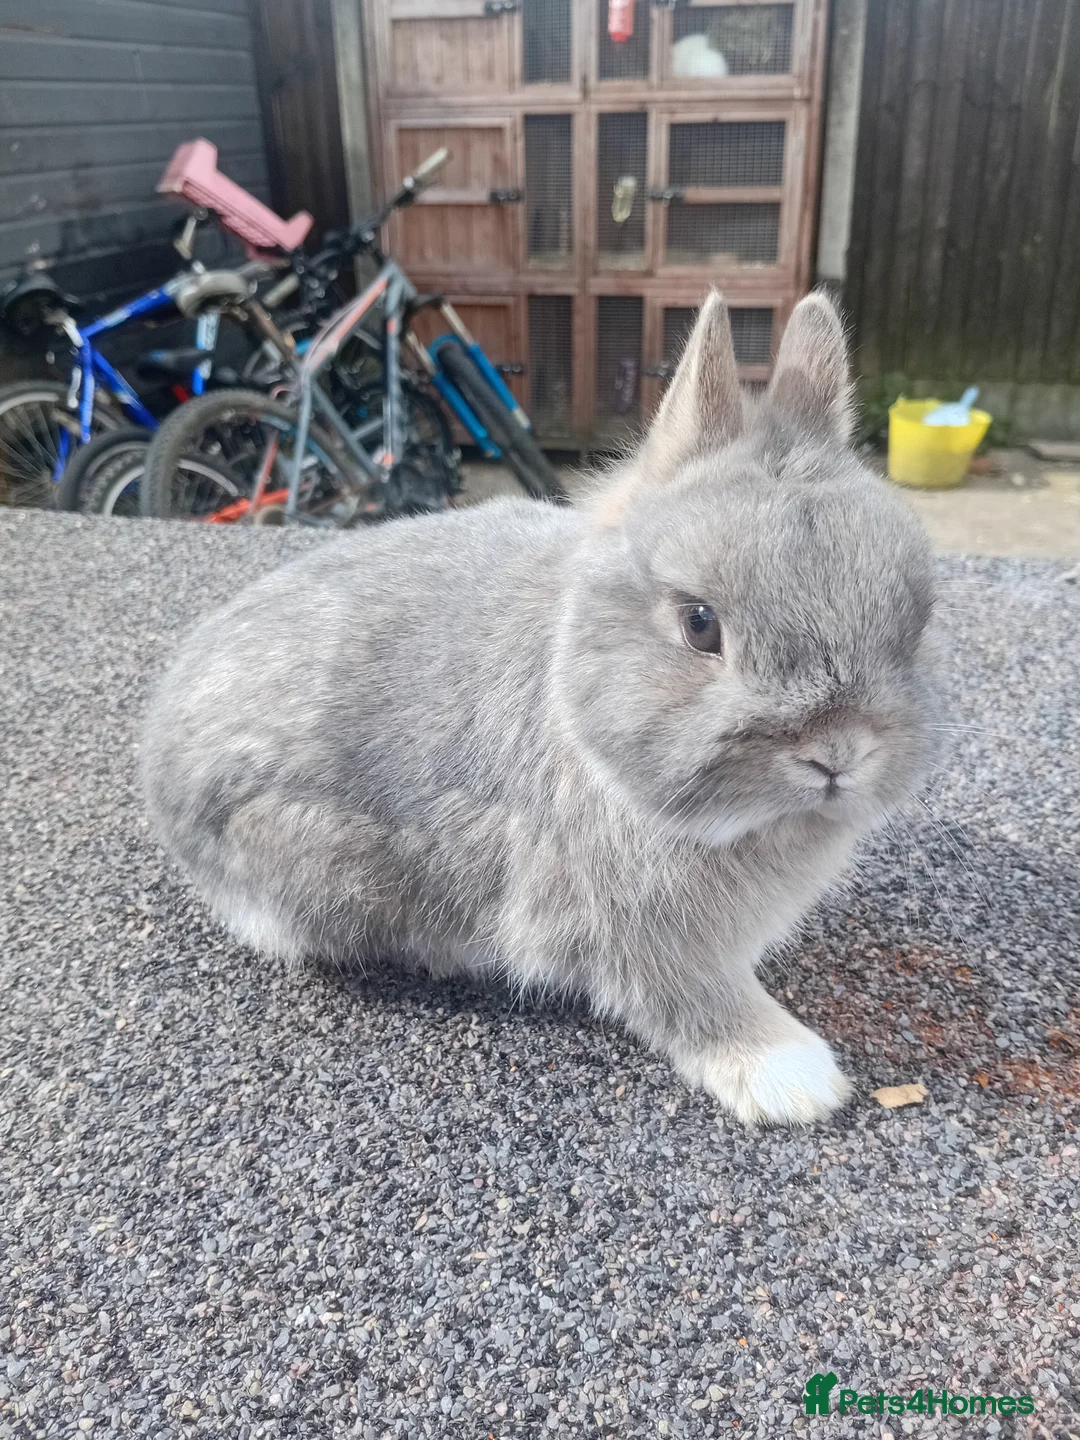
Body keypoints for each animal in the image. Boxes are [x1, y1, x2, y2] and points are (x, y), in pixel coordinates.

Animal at [142, 292, 938, 1127]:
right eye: (700, 625)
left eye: (917, 622)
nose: (839, 753)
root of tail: (157, 758)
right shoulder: (640, 932)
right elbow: (694, 999)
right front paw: (794, 1077)